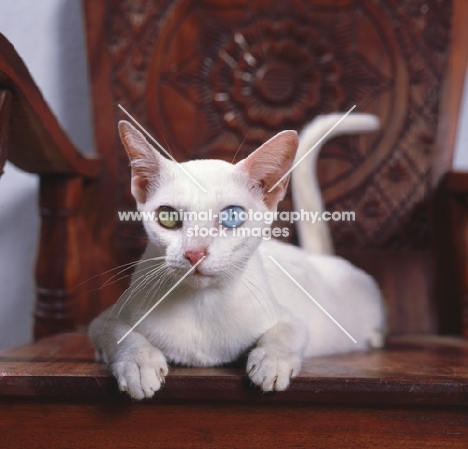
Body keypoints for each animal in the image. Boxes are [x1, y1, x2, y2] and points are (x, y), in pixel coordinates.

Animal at [89, 114, 386, 400]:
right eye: (168, 216)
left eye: (232, 216)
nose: (194, 253)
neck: (201, 305)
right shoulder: (102, 320)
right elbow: (118, 334)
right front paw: (139, 364)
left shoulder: (293, 321)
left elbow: (286, 333)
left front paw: (272, 361)